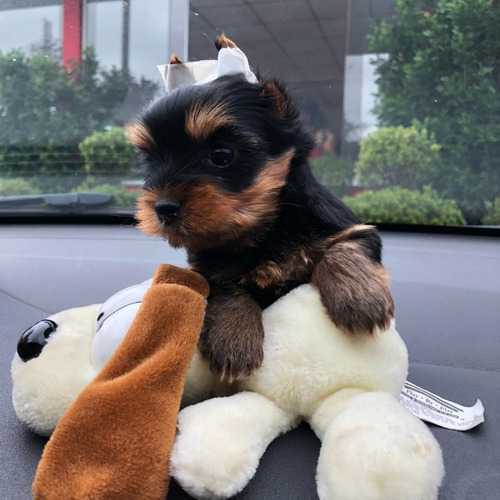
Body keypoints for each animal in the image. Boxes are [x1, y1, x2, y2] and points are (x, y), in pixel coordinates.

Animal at [129, 35, 394, 382]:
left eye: (222, 154)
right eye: (149, 161)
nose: (163, 207)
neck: (264, 230)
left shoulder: (349, 227)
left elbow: (346, 246)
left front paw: (360, 298)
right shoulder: (207, 269)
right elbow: (224, 285)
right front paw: (234, 338)